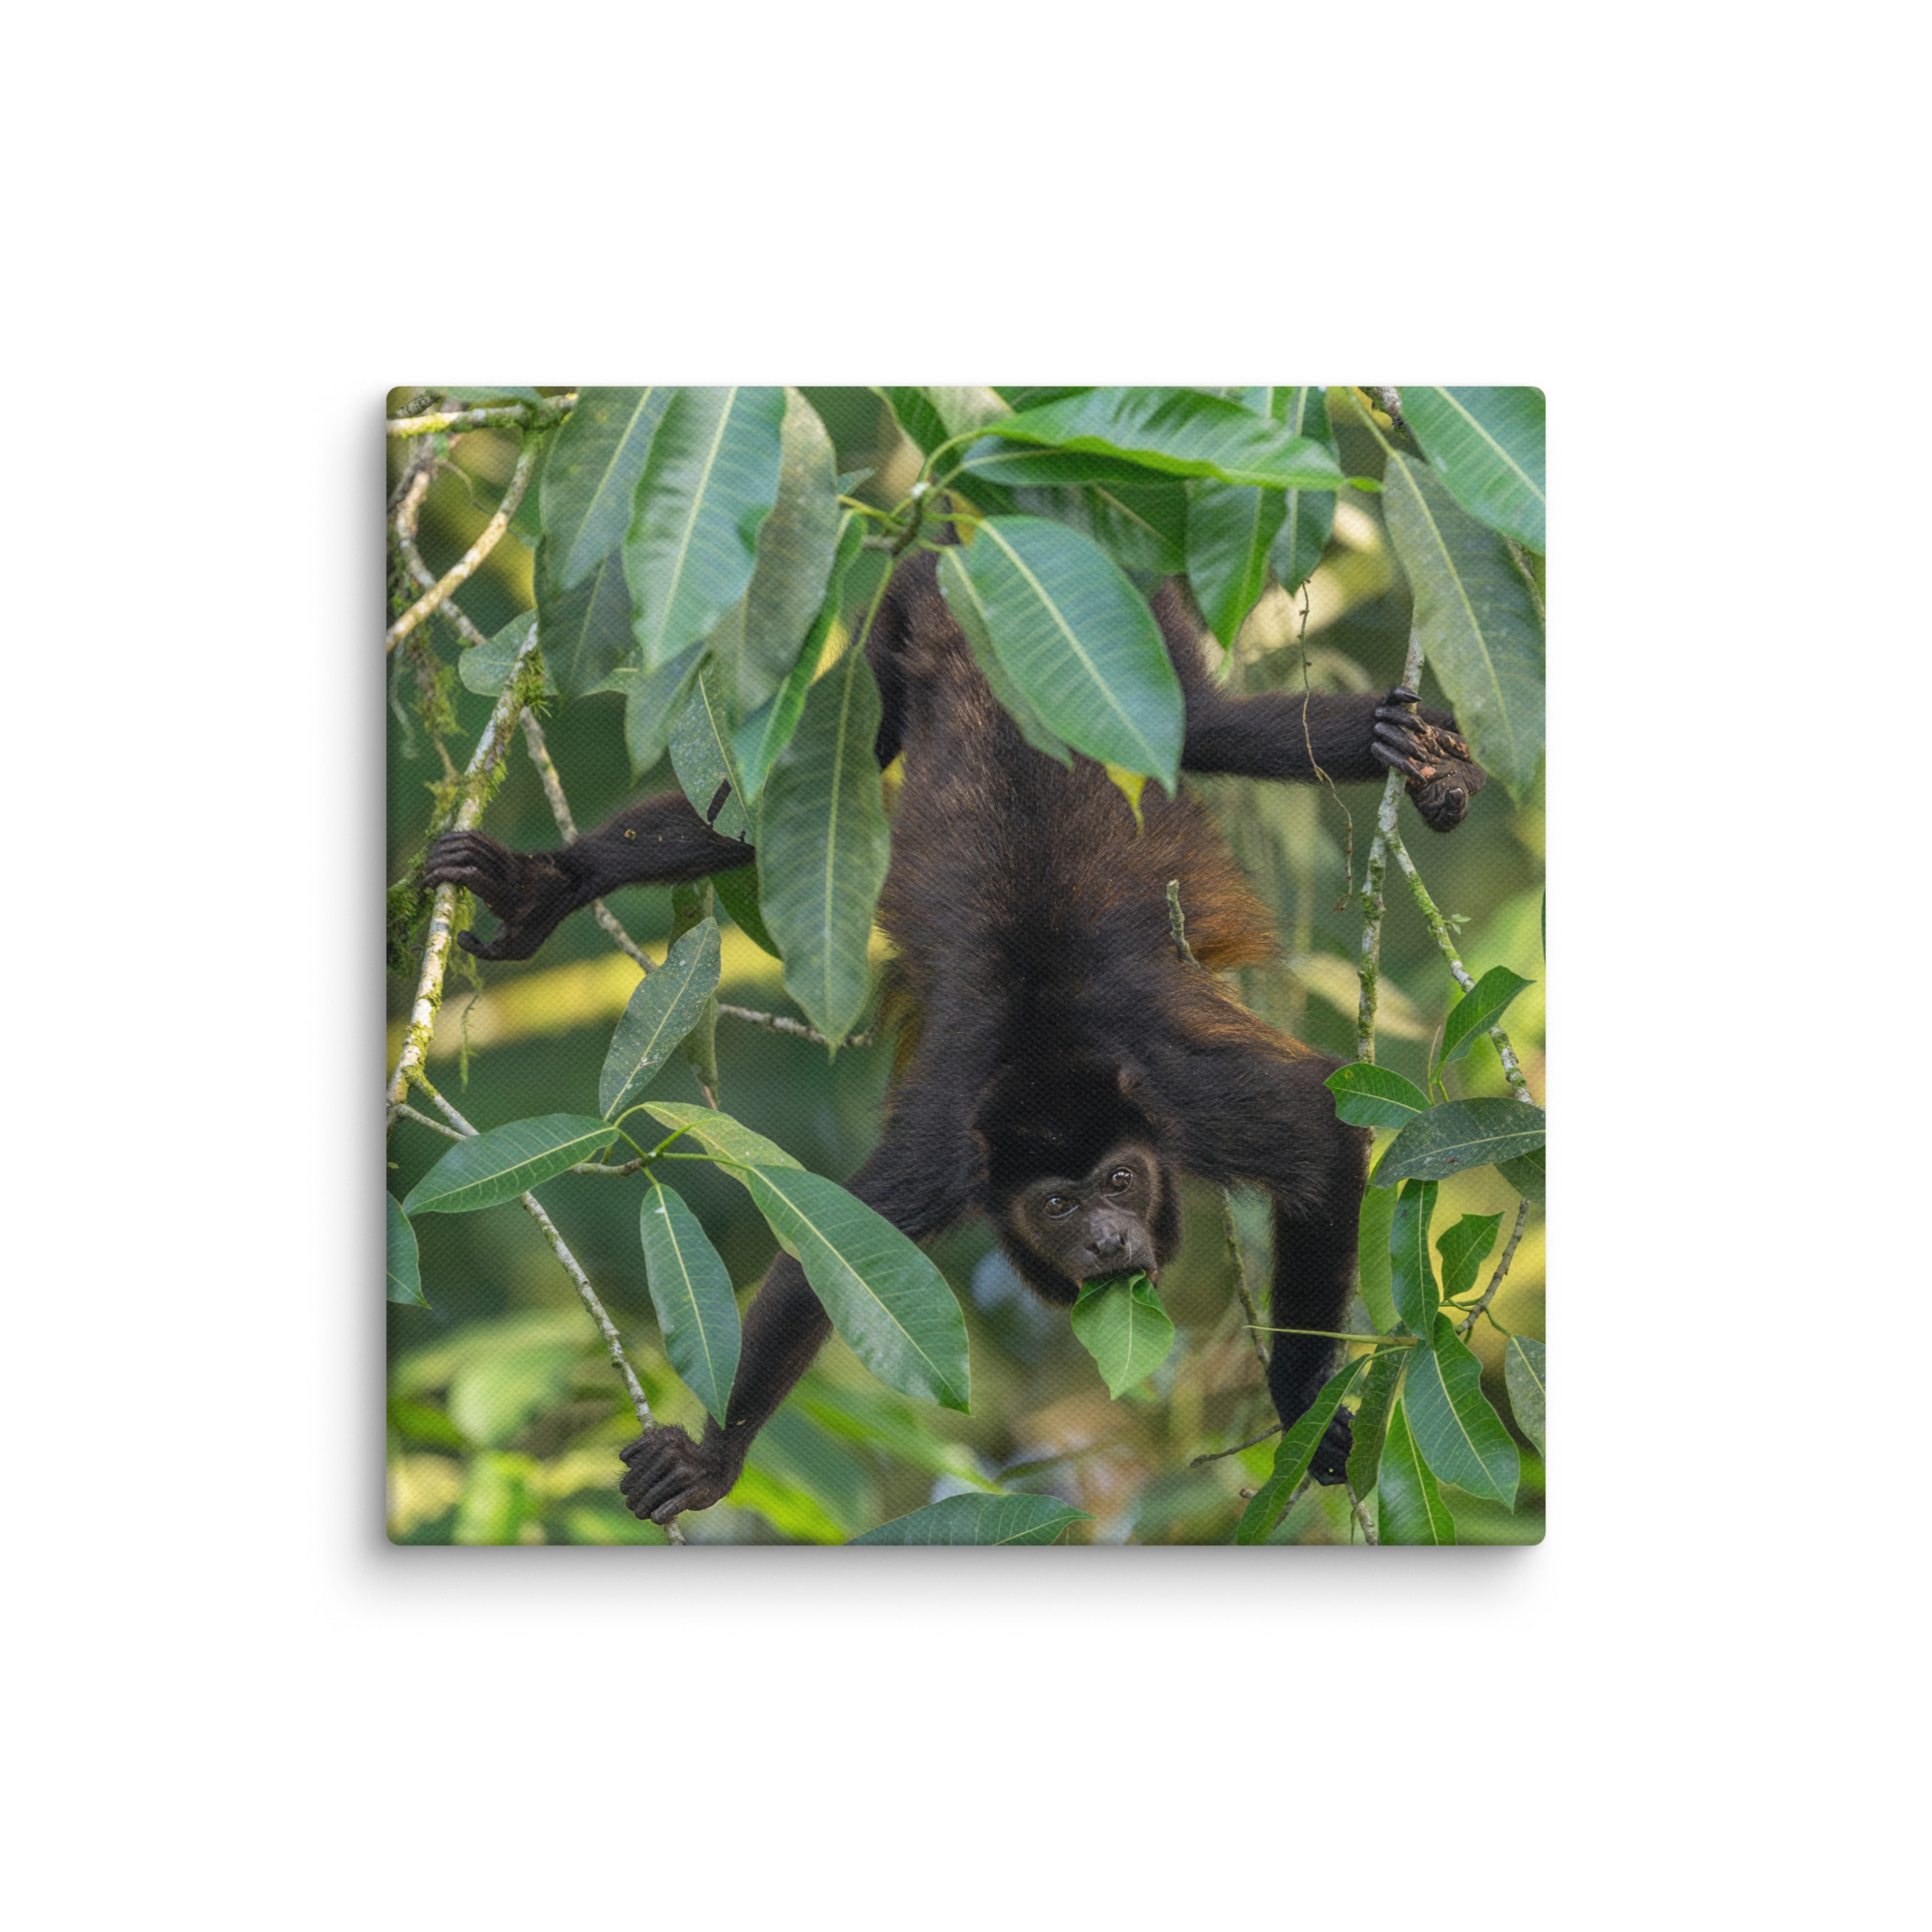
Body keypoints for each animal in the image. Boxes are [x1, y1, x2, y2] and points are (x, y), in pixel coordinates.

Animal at [424, 550, 1482, 1524]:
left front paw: (1302, 1403)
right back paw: (550, 882)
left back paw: (1421, 762)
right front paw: (713, 1458)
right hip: (894, 643)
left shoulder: (1185, 1099)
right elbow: (830, 1254)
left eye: (1119, 1181)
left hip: (1131, 631)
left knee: (1215, 726)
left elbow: (1318, 1130)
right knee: (800, 786)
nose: (1105, 1238)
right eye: (1056, 1204)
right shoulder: (946, 1152)